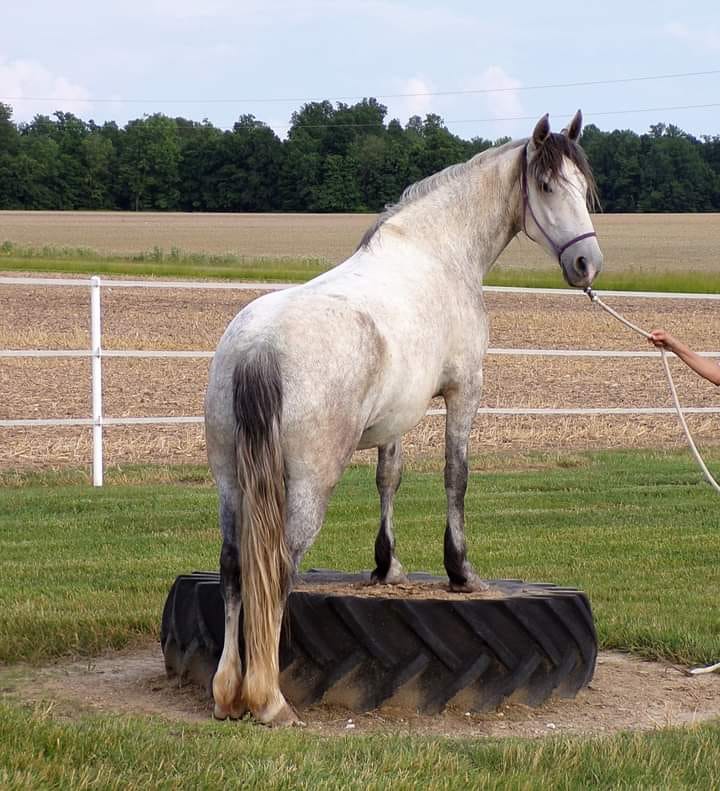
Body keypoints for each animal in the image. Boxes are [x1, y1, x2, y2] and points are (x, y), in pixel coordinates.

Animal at [205, 111, 604, 724]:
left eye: (583, 188)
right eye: (544, 186)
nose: (587, 264)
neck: (436, 253)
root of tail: (259, 347)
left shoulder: (397, 415)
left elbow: (388, 478)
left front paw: (386, 568)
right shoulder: (464, 391)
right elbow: (455, 476)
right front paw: (461, 572)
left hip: (229, 478)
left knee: (231, 566)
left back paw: (228, 694)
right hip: (307, 484)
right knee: (275, 569)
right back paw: (269, 701)